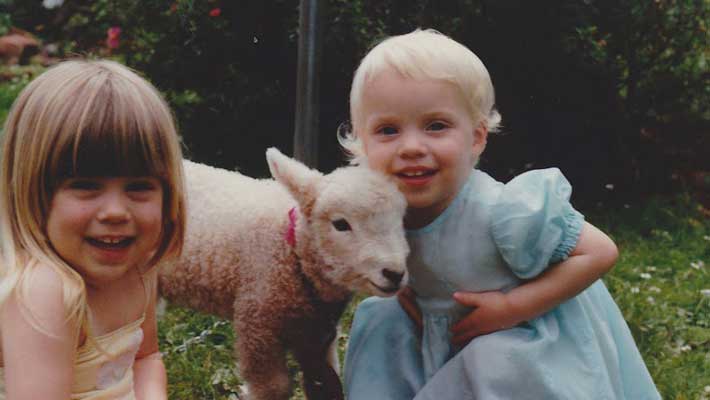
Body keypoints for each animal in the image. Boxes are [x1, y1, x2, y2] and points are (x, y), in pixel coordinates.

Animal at [158, 149, 408, 400]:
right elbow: (274, 389)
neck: (293, 252)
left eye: (400, 219)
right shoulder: (257, 325)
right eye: (340, 224)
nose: (394, 273)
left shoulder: (319, 337)